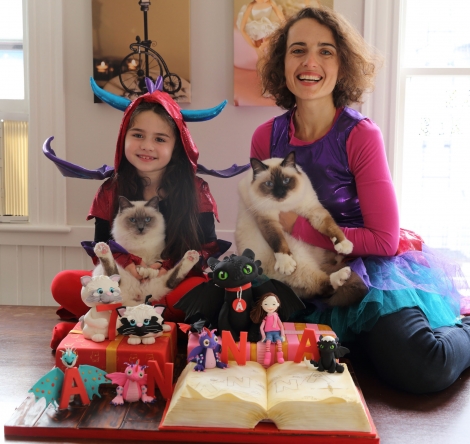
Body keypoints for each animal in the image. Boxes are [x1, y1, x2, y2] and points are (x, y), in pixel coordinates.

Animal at [235, 152, 368, 306]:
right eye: (269, 184)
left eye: (286, 180)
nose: (280, 193)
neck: (286, 205)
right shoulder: (267, 219)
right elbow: (277, 240)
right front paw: (285, 263)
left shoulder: (313, 210)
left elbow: (331, 226)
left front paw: (343, 244)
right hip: (301, 259)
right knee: (322, 287)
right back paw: (341, 275)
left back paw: (340, 259)